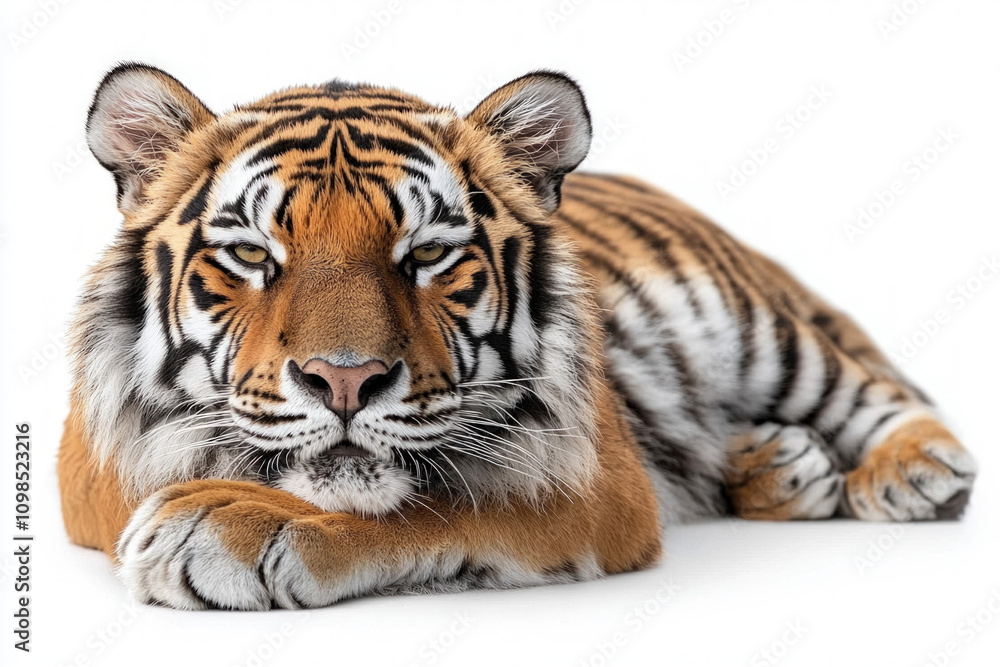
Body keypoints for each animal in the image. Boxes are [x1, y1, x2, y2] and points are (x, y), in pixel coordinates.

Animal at [58, 63, 977, 611]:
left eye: (428, 255)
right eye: (252, 255)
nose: (345, 379)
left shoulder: (593, 477)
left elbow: (440, 500)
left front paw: (222, 526)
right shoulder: (95, 467)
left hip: (758, 328)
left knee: (874, 393)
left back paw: (913, 472)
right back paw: (776, 467)